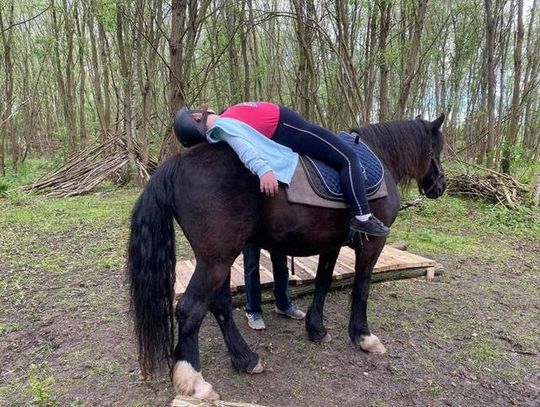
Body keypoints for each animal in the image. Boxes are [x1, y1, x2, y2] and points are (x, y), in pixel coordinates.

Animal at [127, 114, 446, 399]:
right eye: (436, 150)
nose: (440, 186)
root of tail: (177, 163)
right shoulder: (372, 244)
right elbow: (362, 288)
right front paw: (363, 337)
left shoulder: (331, 245)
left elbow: (322, 283)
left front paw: (316, 330)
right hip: (215, 260)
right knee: (190, 308)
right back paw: (194, 382)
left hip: (218, 259)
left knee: (219, 305)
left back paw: (245, 359)